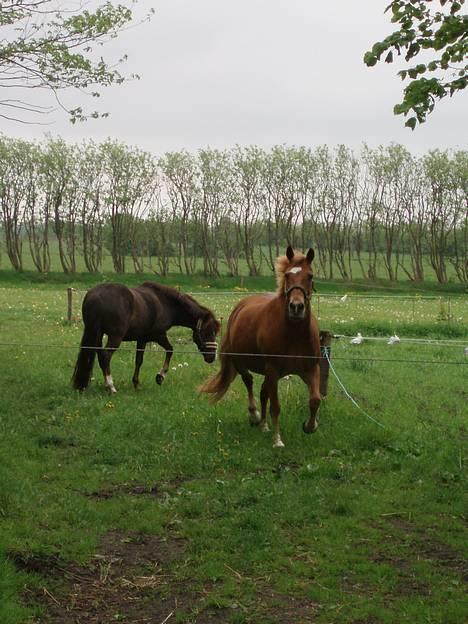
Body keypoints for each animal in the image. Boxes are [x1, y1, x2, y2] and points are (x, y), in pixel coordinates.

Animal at [72, 282, 220, 392]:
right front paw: (160, 377)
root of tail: (95, 296)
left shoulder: (142, 339)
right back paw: (111, 386)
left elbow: (139, 360)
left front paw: (136, 383)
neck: (165, 303)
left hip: (97, 334)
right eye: (207, 333)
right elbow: (170, 350)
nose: (211, 357)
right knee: (105, 356)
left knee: (98, 354)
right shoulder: (158, 335)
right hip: (115, 337)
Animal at [201, 246, 322, 446]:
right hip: (243, 363)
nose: (296, 307)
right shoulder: (272, 368)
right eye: (287, 275)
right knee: (249, 381)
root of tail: (240, 307)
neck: (294, 334)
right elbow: (276, 406)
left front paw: (309, 426)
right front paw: (278, 440)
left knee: (263, 392)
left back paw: (264, 425)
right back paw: (255, 416)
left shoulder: (311, 369)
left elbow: (315, 400)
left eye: (310, 276)